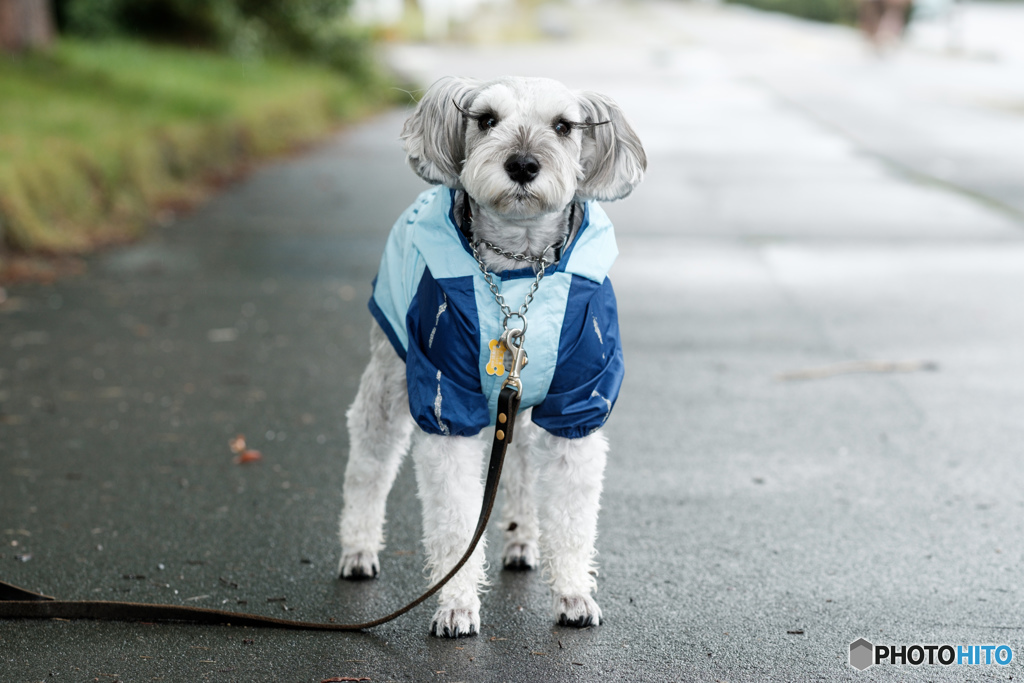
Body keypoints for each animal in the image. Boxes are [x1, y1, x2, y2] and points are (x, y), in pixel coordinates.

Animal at [339, 77, 643, 638]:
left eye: (563, 126)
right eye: (485, 120)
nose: (522, 164)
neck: (520, 269)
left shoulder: (576, 408)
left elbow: (572, 516)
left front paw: (573, 594)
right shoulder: (445, 402)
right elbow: (457, 519)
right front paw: (456, 604)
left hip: (517, 402)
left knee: (519, 468)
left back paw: (523, 539)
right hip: (389, 377)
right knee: (369, 460)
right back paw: (358, 548)